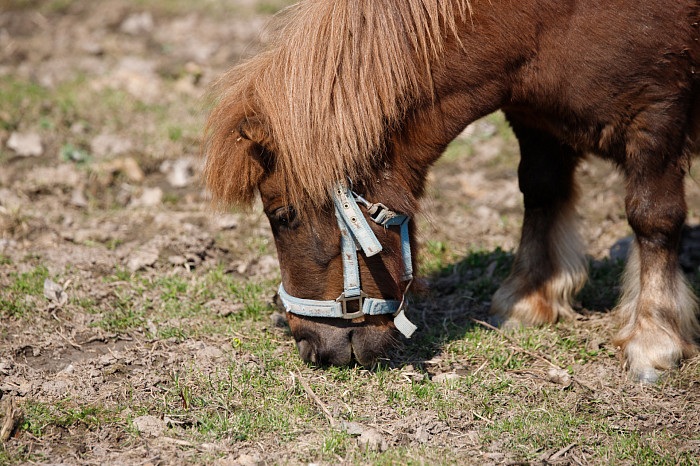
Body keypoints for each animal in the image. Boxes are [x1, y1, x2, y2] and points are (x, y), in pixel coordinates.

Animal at [205, 0, 700, 382]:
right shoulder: (536, 118)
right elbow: (541, 192)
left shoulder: (659, 116)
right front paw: (530, 297)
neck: (545, 21)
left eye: (283, 215)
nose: (310, 346)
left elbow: (652, 217)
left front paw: (652, 338)